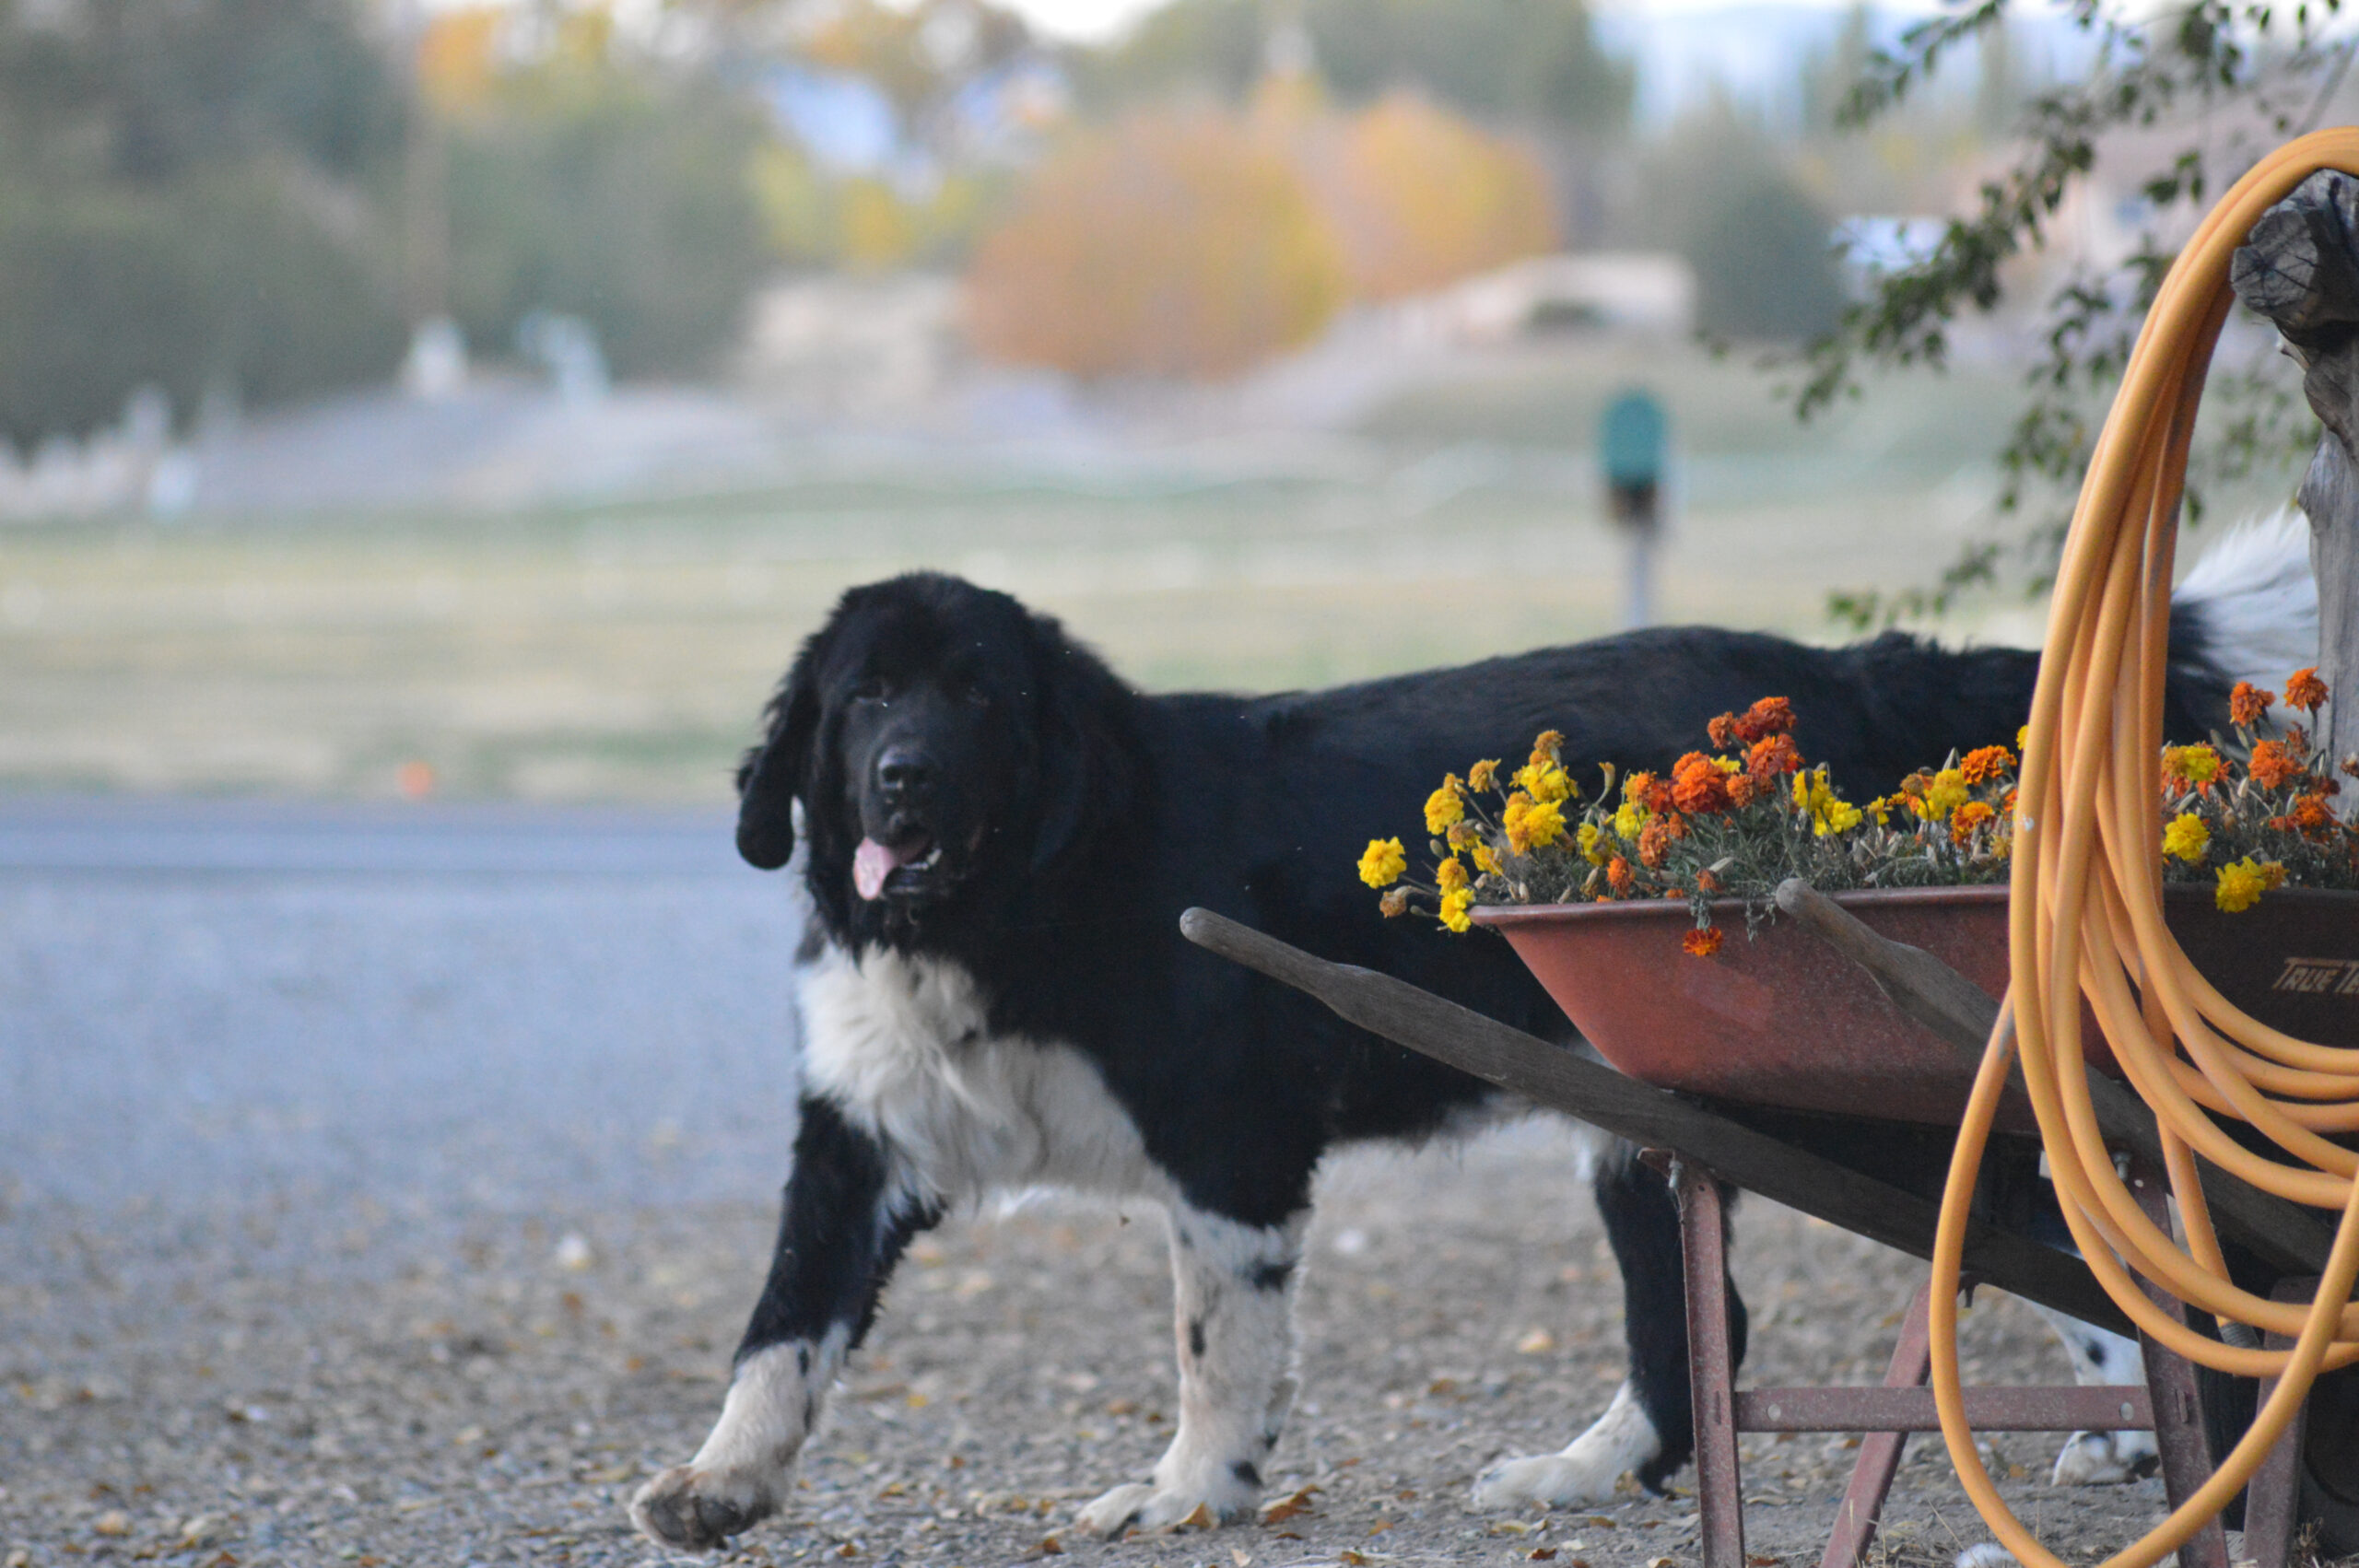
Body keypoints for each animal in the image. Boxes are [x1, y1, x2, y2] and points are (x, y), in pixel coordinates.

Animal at [627, 516, 2321, 1556]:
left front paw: (1191, 1492)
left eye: (975, 697)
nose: (904, 778)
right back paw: (1586, 1470)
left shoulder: (1228, 1149)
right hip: (1645, 1122)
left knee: (2049, 1195)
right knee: (1708, 1327)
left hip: (1825, 1091)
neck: (1013, 897)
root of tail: (1848, 671)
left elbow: (1214, 1350)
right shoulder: (858, 1136)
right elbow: (781, 1322)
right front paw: (722, 1480)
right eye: (863, 700)